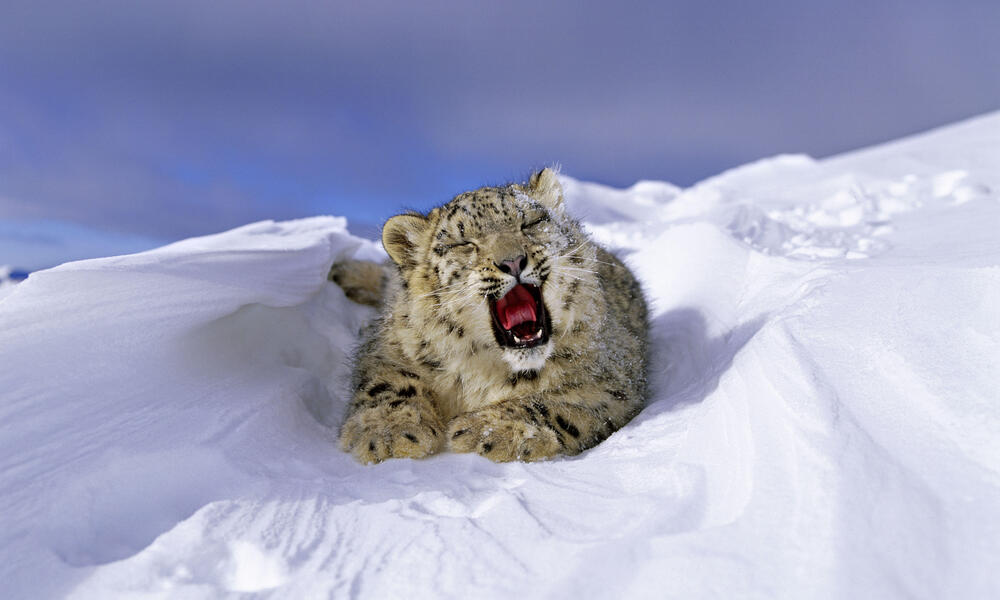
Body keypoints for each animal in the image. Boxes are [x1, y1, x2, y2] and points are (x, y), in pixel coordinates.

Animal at [330, 169, 648, 464]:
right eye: (464, 243)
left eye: (530, 223)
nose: (512, 261)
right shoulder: (388, 346)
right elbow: (388, 382)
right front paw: (389, 432)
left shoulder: (612, 381)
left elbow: (559, 404)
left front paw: (488, 430)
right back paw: (342, 272)